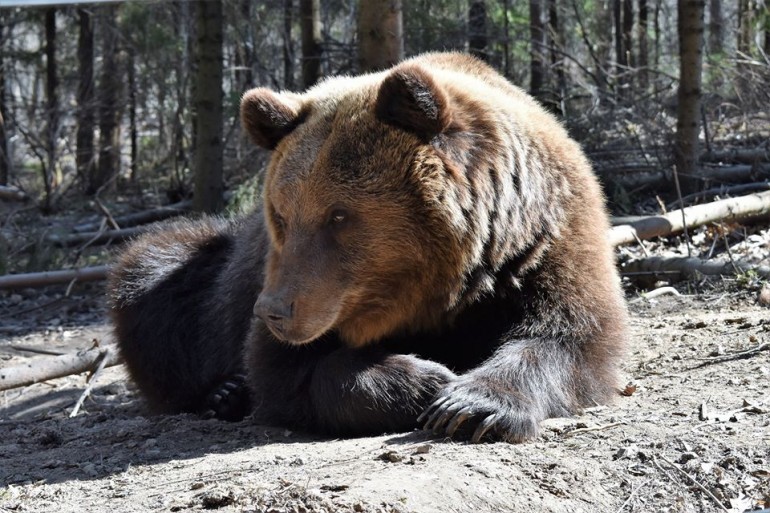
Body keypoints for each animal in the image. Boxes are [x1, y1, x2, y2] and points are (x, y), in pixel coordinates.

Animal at [108, 54, 628, 442]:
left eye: (338, 216)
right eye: (281, 214)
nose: (275, 310)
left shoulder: (541, 243)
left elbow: (572, 334)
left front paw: (472, 406)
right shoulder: (286, 286)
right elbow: (288, 371)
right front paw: (428, 381)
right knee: (152, 271)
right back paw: (223, 393)